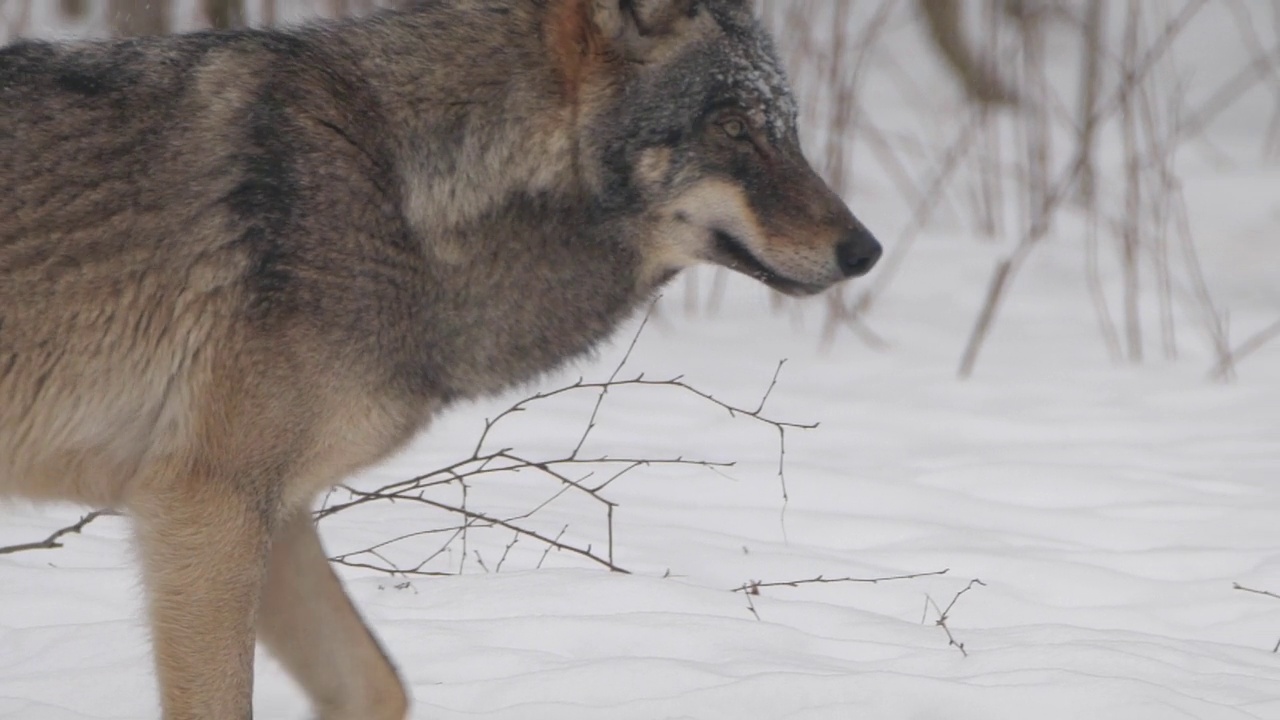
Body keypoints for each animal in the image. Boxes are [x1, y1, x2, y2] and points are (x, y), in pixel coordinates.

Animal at [0, 1, 880, 712]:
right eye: (732, 126)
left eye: (786, 125)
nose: (865, 251)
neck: (398, 188)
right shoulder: (206, 507)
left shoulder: (274, 513)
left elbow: (377, 685)